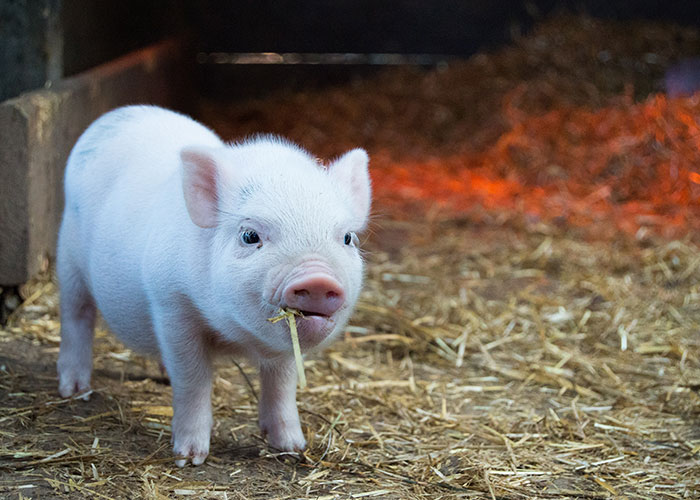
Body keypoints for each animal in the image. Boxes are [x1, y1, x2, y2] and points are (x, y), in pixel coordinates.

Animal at [56, 105, 371, 466]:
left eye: (347, 238)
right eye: (250, 235)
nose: (317, 278)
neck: (235, 337)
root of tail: (118, 114)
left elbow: (282, 383)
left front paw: (293, 448)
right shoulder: (171, 304)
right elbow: (193, 379)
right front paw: (189, 458)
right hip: (68, 258)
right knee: (76, 315)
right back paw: (74, 390)